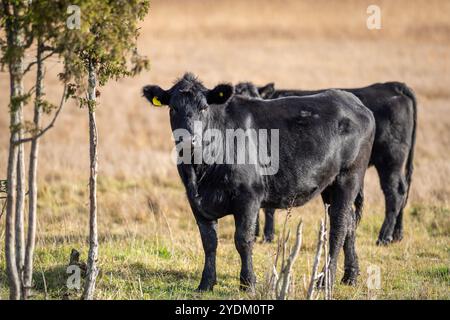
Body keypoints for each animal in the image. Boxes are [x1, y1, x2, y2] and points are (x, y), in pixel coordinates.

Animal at [144, 74, 376, 292]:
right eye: (173, 108)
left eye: (203, 107)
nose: (188, 139)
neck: (201, 170)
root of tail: (352, 100)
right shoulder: (196, 201)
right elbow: (209, 242)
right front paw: (206, 283)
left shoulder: (249, 197)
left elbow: (243, 240)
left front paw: (248, 283)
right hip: (330, 185)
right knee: (350, 223)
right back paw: (350, 276)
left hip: (349, 177)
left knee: (338, 226)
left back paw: (325, 281)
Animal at [237, 81, 416, 244]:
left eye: (256, 96)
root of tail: (392, 85)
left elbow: (267, 208)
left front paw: (266, 235)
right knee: (403, 189)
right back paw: (397, 235)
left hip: (390, 160)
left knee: (394, 192)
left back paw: (384, 237)